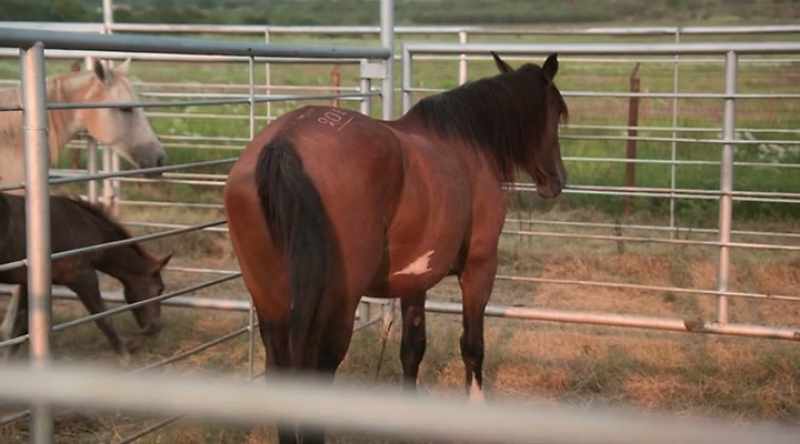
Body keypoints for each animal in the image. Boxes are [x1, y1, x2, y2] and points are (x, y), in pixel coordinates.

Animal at [0, 193, 171, 361]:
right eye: (159, 289)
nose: (155, 328)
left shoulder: (29, 283)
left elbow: (20, 326)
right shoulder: (83, 278)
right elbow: (103, 318)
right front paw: (125, 356)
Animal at [224, 52, 567, 443]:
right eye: (557, 111)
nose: (557, 180)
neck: (467, 146)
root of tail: (285, 142)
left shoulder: (415, 279)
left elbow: (412, 349)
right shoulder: (480, 268)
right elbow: (472, 345)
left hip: (272, 304)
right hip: (334, 308)